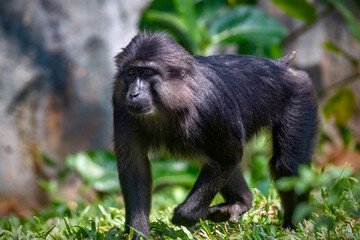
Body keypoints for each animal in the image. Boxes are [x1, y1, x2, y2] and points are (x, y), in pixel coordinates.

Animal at [112, 32, 318, 238]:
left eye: (147, 73)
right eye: (131, 73)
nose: (134, 94)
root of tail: (279, 67)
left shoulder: (210, 105)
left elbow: (230, 156)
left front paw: (187, 216)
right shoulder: (121, 104)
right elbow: (135, 167)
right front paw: (138, 233)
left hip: (299, 96)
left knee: (287, 167)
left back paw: (294, 227)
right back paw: (242, 202)